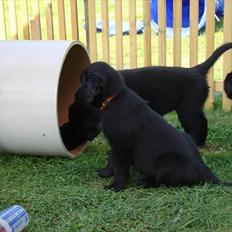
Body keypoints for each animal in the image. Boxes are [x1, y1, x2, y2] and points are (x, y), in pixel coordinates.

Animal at [76, 61, 228, 190]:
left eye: (83, 81)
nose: (76, 95)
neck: (114, 97)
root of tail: (204, 169)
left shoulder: (121, 145)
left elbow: (119, 166)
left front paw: (116, 186)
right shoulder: (116, 143)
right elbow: (112, 158)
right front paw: (107, 173)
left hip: (168, 159)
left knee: (164, 182)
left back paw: (143, 182)